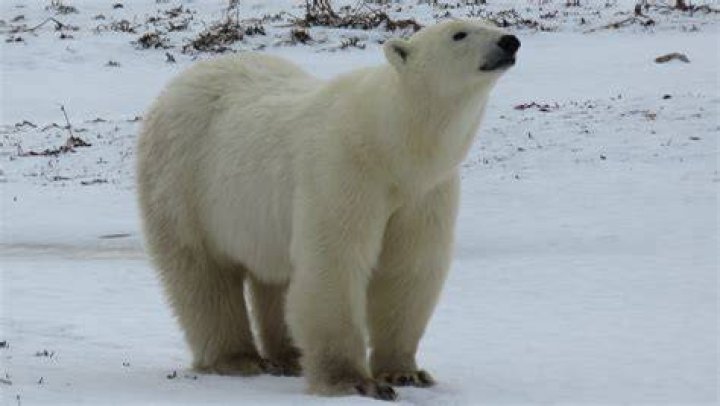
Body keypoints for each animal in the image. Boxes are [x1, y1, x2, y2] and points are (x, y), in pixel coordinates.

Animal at [137, 19, 519, 401]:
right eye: (459, 34)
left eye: (491, 23)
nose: (510, 41)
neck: (389, 144)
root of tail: (178, 84)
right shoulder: (344, 170)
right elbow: (335, 263)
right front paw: (354, 381)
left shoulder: (423, 193)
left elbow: (408, 268)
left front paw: (405, 372)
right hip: (183, 184)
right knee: (201, 275)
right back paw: (237, 359)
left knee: (275, 278)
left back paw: (288, 357)